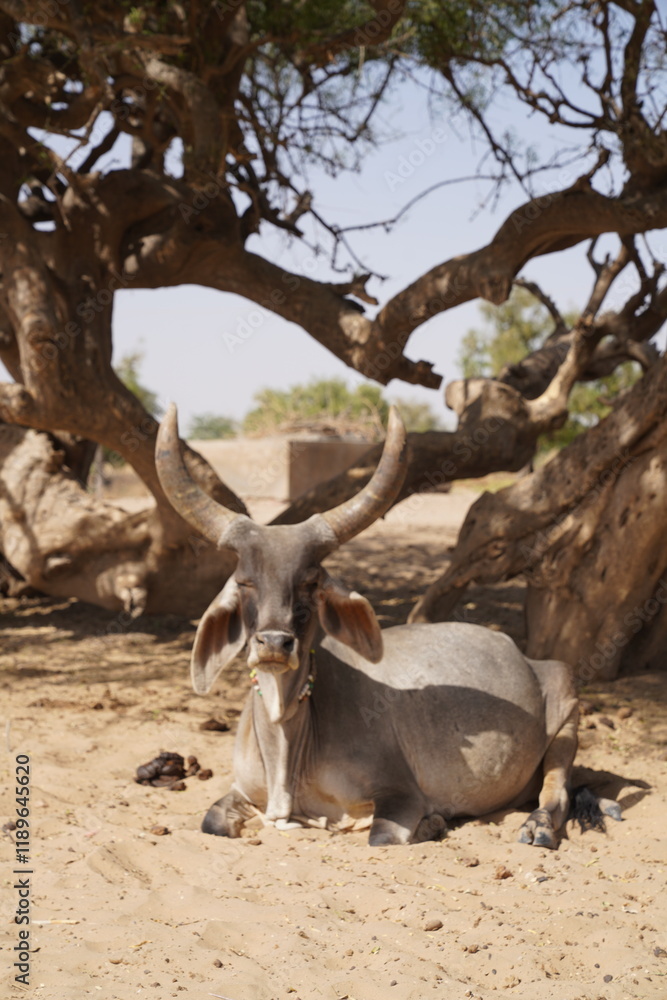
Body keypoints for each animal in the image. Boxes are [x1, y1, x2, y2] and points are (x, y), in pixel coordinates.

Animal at [155, 404, 619, 847]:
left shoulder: (400, 795)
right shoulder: (241, 791)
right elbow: (211, 821)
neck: (286, 736)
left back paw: (538, 826)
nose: (273, 643)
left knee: (556, 792)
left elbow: (380, 834)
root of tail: (526, 657)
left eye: (310, 582)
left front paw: (432, 823)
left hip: (567, 711)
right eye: (244, 581)